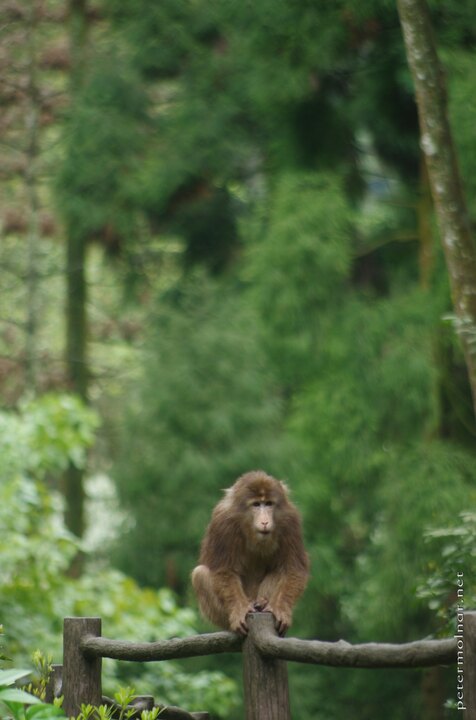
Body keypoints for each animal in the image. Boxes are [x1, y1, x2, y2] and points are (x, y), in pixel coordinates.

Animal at [192, 472, 310, 636]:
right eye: (256, 505)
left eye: (268, 504)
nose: (265, 521)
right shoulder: (223, 523)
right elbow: (224, 570)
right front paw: (240, 610)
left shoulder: (290, 521)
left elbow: (293, 569)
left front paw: (279, 609)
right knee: (200, 574)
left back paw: (262, 603)